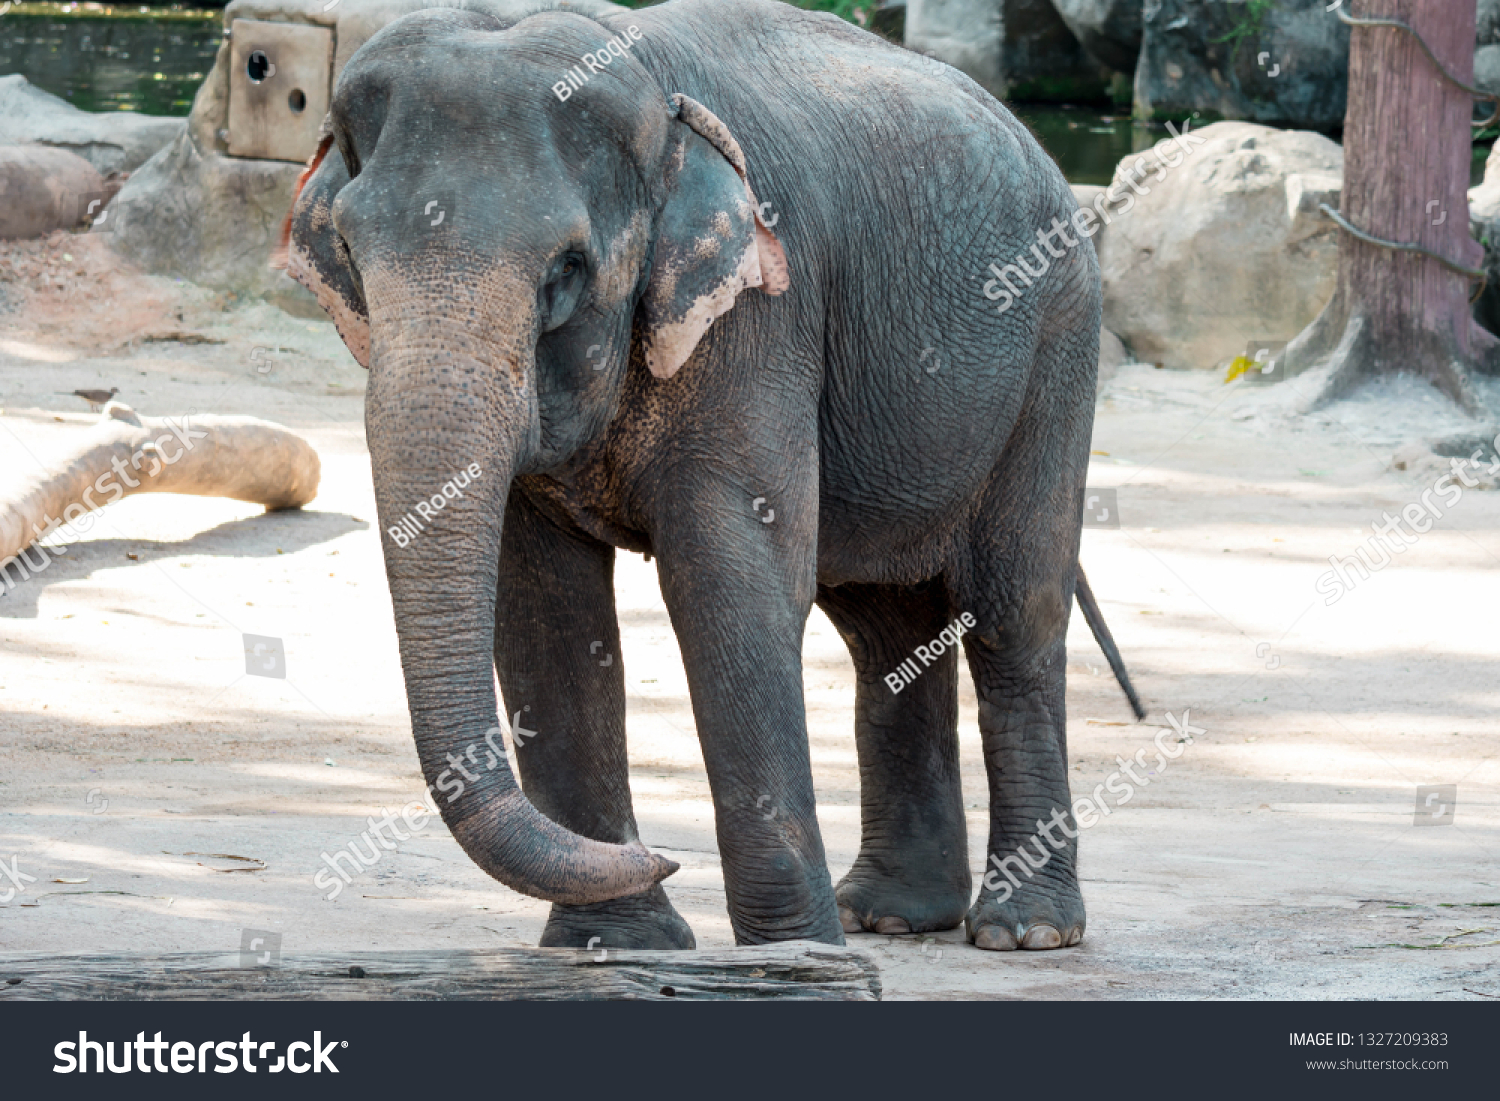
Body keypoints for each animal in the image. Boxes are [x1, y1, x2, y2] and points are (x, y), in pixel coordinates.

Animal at [282, 0, 1122, 954]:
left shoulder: (760, 316)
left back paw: (1024, 930)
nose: (663, 860)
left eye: (567, 270)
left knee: (1016, 614)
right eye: (350, 252)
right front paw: (619, 945)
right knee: (886, 627)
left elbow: (731, 581)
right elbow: (545, 609)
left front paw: (793, 955)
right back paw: (892, 915)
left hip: (1058, 347)